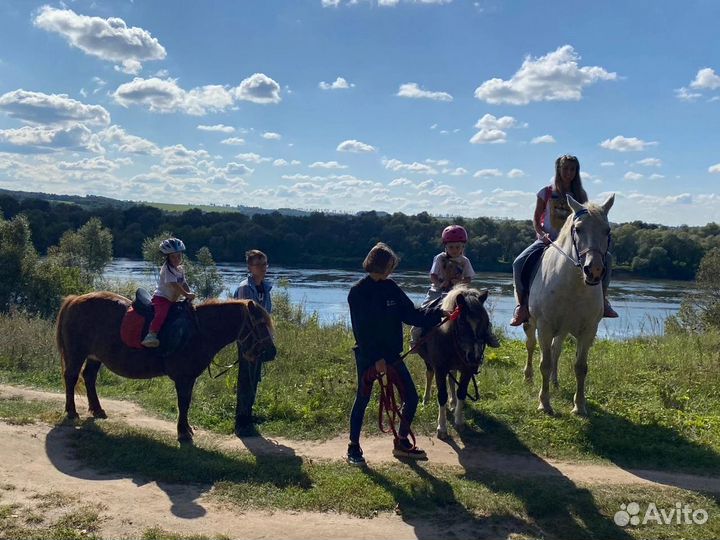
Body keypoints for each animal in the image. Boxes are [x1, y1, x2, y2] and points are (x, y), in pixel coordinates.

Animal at [55, 294, 276, 440]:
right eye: (259, 324)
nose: (272, 353)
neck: (199, 331)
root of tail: (74, 299)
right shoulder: (184, 377)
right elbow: (183, 403)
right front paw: (183, 432)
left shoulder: (189, 377)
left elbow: (186, 403)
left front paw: (185, 429)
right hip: (76, 354)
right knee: (71, 377)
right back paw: (71, 411)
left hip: (95, 356)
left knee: (89, 377)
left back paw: (97, 409)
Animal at [520, 195, 616, 418]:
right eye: (578, 229)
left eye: (607, 230)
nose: (594, 270)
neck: (574, 285)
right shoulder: (544, 327)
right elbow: (544, 364)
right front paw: (544, 404)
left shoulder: (588, 330)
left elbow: (580, 367)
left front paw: (579, 406)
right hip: (531, 322)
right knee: (531, 346)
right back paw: (528, 377)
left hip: (563, 330)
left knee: (556, 350)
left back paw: (555, 382)